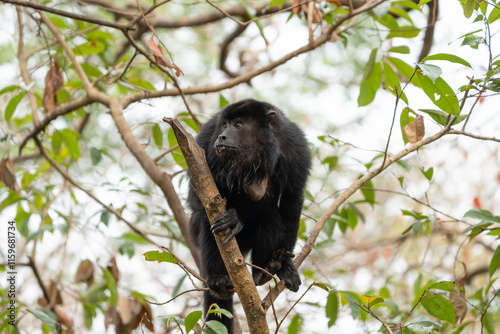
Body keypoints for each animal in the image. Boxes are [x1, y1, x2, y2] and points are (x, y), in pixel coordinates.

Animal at [188, 98, 310, 332]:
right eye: (224, 125)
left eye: (238, 125)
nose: (222, 136)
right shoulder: (206, 138)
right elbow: (197, 192)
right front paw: (233, 218)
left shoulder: (296, 147)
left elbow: (292, 200)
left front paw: (286, 267)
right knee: (208, 226)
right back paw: (218, 280)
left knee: (270, 216)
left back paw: (264, 270)